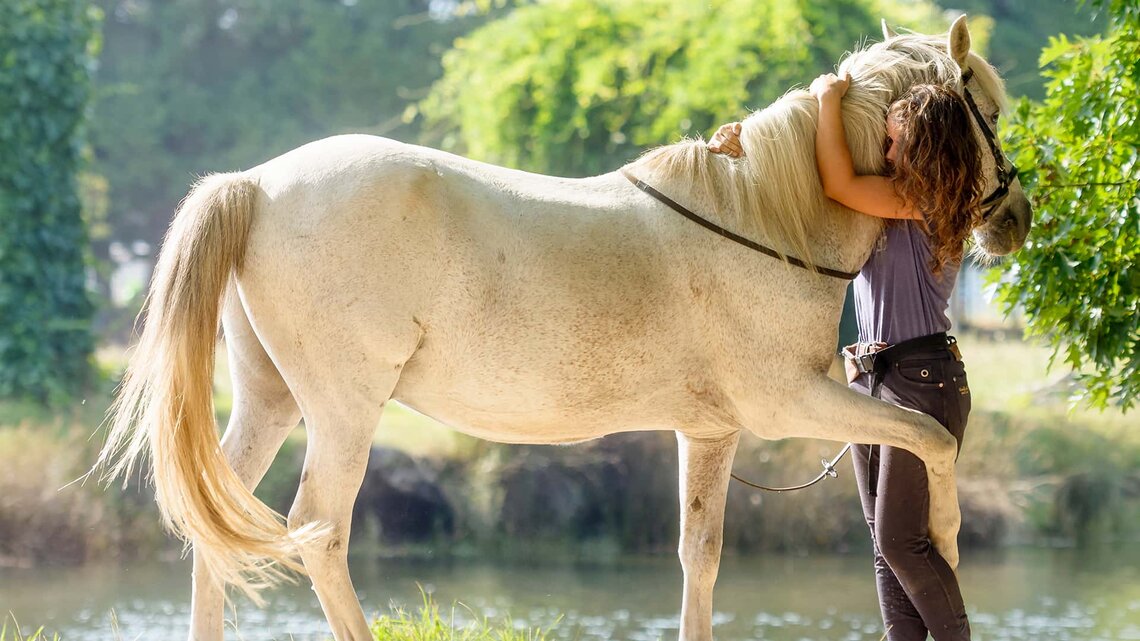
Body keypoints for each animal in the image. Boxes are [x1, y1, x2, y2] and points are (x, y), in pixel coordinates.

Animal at [102, 17, 1035, 638]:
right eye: (987, 110)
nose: (1015, 217)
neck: (766, 216)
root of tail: (257, 184)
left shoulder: (710, 432)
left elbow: (700, 557)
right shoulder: (789, 404)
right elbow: (932, 438)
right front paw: (948, 534)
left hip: (271, 400)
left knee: (218, 517)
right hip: (343, 409)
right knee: (319, 529)